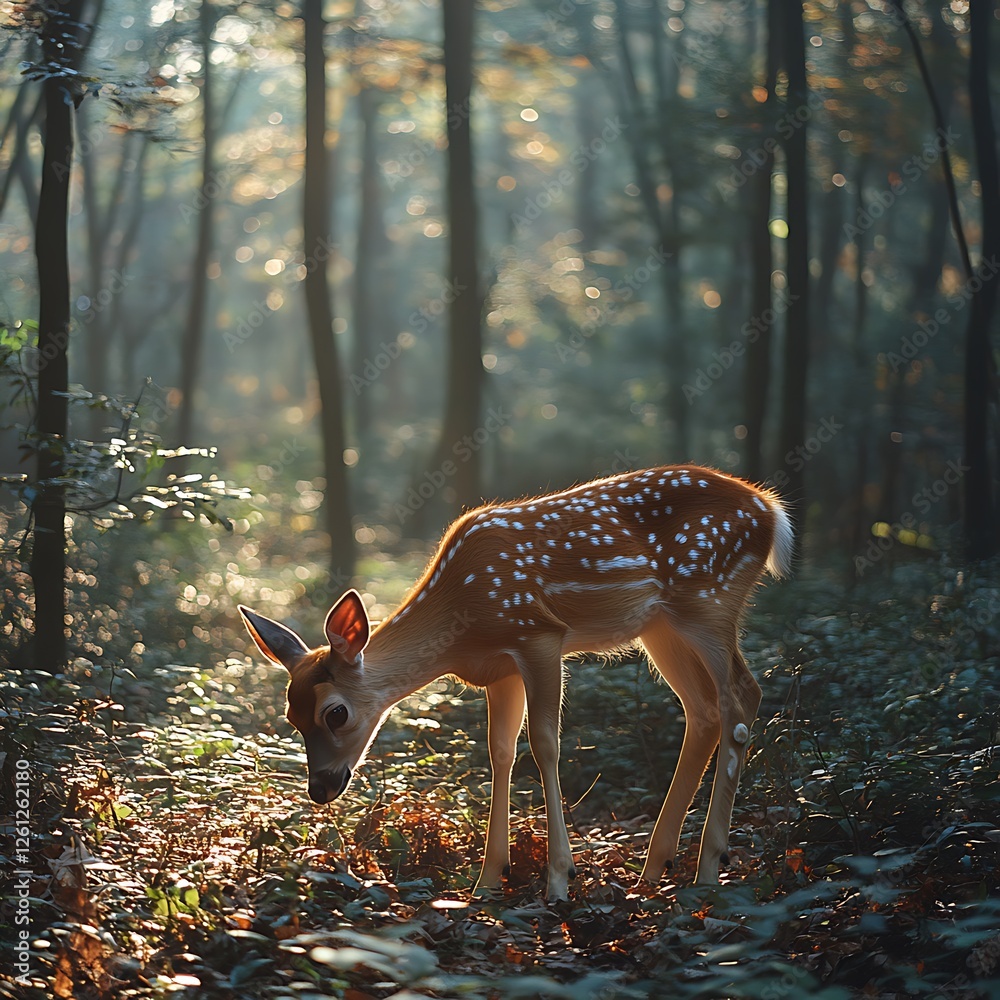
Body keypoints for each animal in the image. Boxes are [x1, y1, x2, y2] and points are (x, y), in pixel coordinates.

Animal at [239, 464, 793, 901]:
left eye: (336, 712)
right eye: (290, 716)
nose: (320, 788)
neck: (461, 622)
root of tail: (771, 511)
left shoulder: (538, 633)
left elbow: (544, 743)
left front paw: (559, 879)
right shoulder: (498, 670)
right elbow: (499, 751)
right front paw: (488, 879)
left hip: (709, 597)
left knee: (741, 695)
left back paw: (708, 869)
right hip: (660, 626)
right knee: (703, 709)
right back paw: (655, 870)